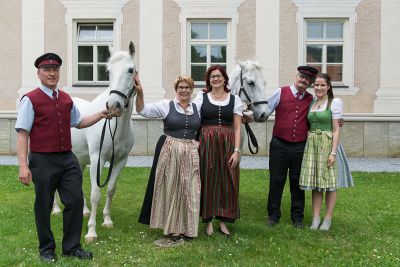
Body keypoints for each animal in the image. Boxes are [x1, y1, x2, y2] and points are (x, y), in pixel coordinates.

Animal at [52, 42, 137, 245]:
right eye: (108, 71)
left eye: (130, 70)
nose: (113, 105)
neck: (116, 128)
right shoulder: (97, 159)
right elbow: (96, 194)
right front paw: (91, 232)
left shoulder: (120, 161)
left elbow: (111, 189)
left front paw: (107, 220)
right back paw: (56, 209)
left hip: (80, 159)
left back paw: (83, 211)